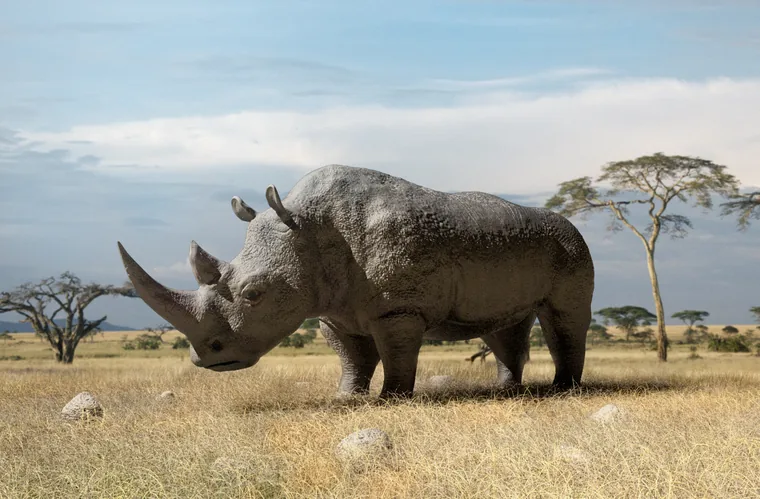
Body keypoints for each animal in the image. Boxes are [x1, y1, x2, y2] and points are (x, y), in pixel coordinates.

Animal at [118, 165, 594, 397]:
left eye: (254, 294)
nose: (208, 359)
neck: (310, 229)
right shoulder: (333, 309)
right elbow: (353, 356)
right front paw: (347, 398)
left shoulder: (399, 307)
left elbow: (396, 352)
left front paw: (392, 399)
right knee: (501, 326)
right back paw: (507, 391)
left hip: (571, 245)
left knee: (564, 317)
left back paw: (562, 391)